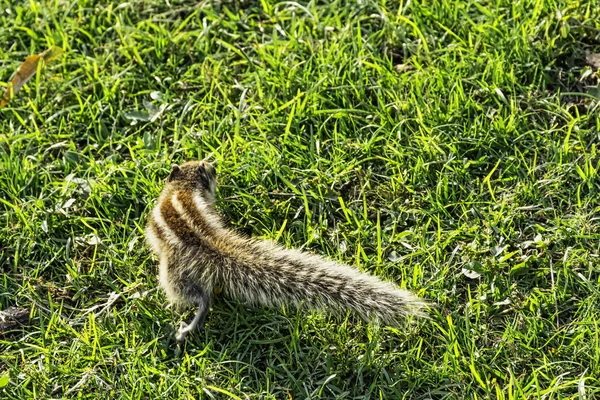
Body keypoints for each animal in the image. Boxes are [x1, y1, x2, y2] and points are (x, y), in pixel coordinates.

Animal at [145, 161, 426, 342]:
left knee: (200, 298)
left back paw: (188, 328)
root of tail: (208, 241)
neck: (184, 187)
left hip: (172, 275)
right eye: (199, 165)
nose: (213, 165)